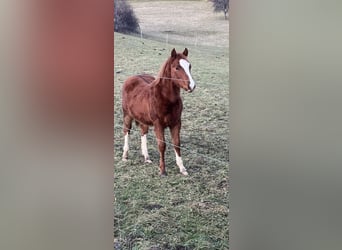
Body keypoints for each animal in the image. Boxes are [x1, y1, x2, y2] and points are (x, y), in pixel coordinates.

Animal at [121, 47, 195, 176]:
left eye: (189, 66)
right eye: (177, 67)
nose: (191, 86)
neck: (166, 99)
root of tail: (131, 78)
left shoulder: (176, 123)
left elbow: (177, 143)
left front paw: (182, 168)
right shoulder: (158, 124)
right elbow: (162, 145)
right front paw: (162, 170)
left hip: (143, 118)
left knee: (143, 132)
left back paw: (146, 157)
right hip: (127, 115)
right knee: (127, 131)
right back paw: (125, 155)